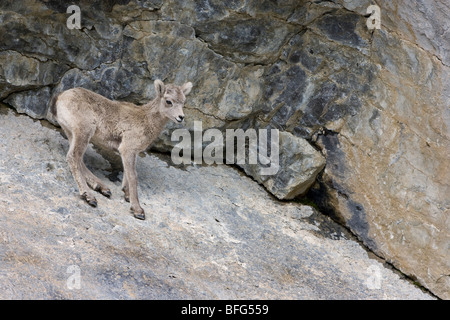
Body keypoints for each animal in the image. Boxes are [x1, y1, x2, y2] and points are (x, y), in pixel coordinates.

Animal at [50, 80, 192, 220]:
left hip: (72, 134)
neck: (146, 120)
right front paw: (138, 210)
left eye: (183, 101)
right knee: (73, 157)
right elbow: (133, 176)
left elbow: (127, 173)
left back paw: (102, 188)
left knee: (78, 160)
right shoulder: (127, 149)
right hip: (83, 132)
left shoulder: (131, 153)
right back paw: (89, 197)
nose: (181, 117)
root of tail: (60, 98)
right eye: (168, 101)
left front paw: (127, 195)